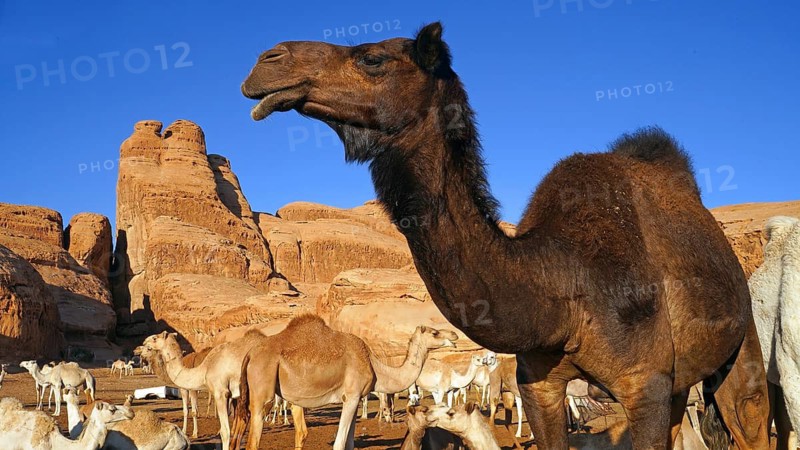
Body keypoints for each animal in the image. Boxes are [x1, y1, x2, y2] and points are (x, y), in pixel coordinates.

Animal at [228, 314, 458, 450]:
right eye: (435, 332)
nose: (454, 335)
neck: (375, 366)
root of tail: (250, 354)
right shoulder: (352, 395)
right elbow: (339, 444)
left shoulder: (355, 399)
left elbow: (349, 443)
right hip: (263, 391)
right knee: (253, 440)